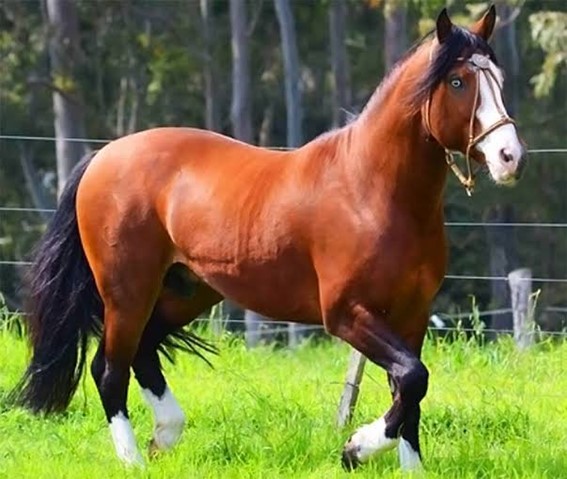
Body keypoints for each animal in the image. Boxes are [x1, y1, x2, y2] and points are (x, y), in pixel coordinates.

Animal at [12, 6, 528, 472]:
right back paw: (134, 461)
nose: (510, 157)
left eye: (498, 78)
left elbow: (409, 390)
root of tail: (103, 156)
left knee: (144, 348)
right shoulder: (346, 314)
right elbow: (414, 378)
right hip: (127, 291)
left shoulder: (413, 314)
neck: (371, 191)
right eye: (458, 82)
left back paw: (167, 434)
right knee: (109, 369)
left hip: (187, 290)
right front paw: (354, 449)